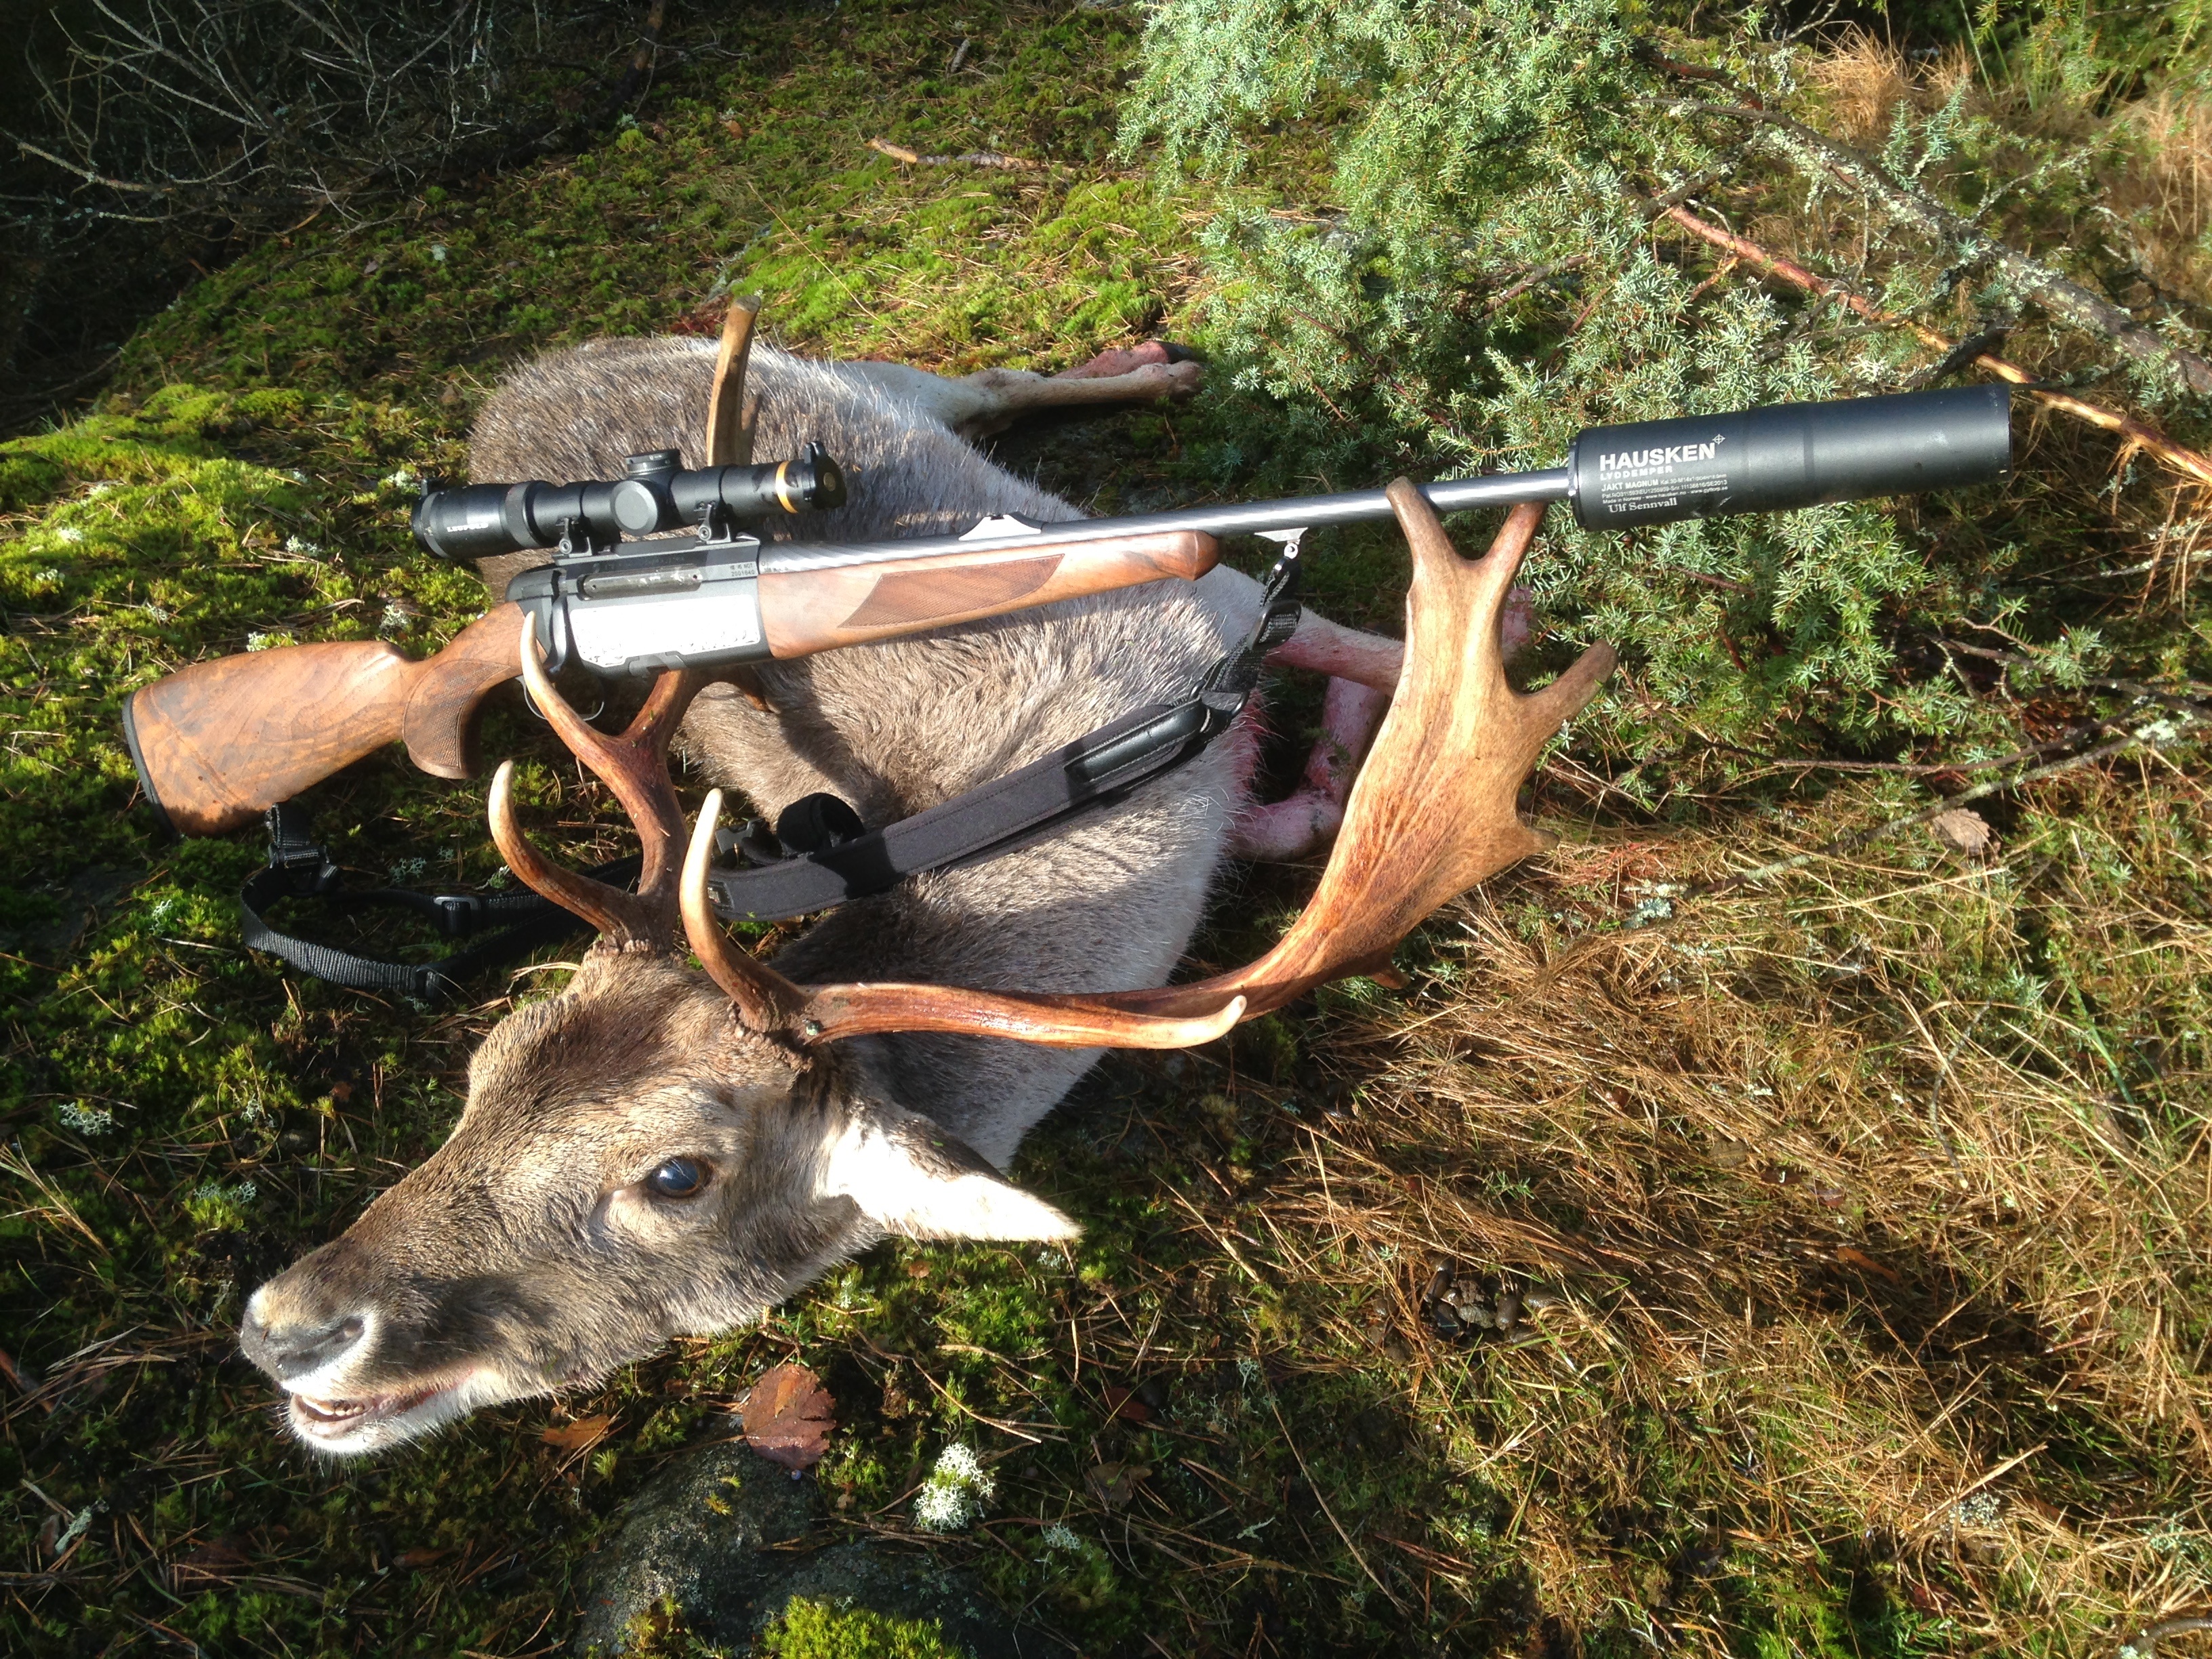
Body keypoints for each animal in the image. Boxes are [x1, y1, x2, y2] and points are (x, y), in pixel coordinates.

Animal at [237, 322, 1615, 1453]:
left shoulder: (1215, 600)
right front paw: (1337, 750)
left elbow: (1426, 644)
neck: (1108, 784)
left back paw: (1151, 368)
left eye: (675, 1175)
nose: (287, 1323)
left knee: (985, 383)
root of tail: (508, 390)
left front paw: (1394, 696)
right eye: (488, 1066)